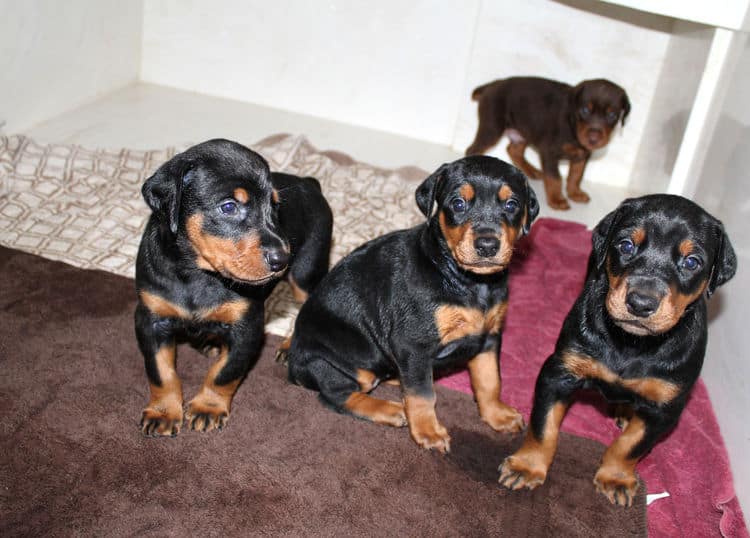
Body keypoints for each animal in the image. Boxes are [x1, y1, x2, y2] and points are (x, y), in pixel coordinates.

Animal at [136, 138, 334, 436]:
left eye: (275, 207)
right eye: (229, 207)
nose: (282, 259)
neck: (199, 275)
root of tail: (311, 184)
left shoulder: (248, 328)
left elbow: (224, 373)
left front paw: (208, 407)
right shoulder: (151, 319)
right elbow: (161, 372)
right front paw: (163, 412)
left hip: (306, 270)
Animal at [286, 156, 540, 452]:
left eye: (511, 205)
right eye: (458, 204)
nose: (487, 245)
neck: (469, 282)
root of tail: (294, 364)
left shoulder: (488, 337)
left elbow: (490, 380)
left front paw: (497, 414)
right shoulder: (413, 343)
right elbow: (422, 394)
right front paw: (428, 432)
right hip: (336, 362)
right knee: (336, 395)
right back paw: (390, 409)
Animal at [468, 76, 632, 210]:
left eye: (612, 115)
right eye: (585, 110)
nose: (594, 139)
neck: (573, 126)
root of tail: (492, 85)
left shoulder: (582, 156)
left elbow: (576, 175)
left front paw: (575, 193)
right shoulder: (549, 153)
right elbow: (555, 178)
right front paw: (557, 200)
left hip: (523, 131)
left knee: (513, 149)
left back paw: (532, 171)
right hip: (492, 128)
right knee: (473, 149)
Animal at [500, 195, 740, 504]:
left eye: (692, 262)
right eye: (626, 245)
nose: (641, 303)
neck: (632, 344)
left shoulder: (665, 407)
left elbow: (631, 444)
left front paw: (616, 477)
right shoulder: (559, 373)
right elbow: (544, 426)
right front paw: (527, 466)